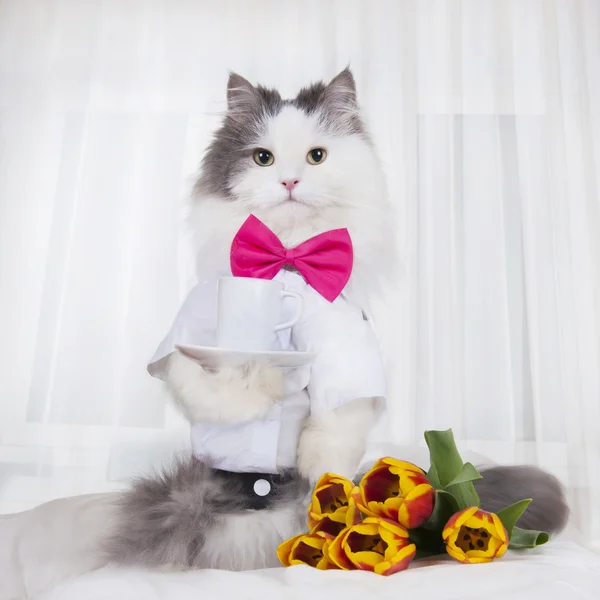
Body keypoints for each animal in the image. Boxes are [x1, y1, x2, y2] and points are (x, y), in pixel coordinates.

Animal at [103, 69, 568, 572]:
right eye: (263, 158)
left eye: (317, 156)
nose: (289, 180)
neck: (288, 259)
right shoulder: (194, 332)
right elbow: (212, 384)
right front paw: (257, 392)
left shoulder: (346, 349)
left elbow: (333, 428)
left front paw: (324, 484)